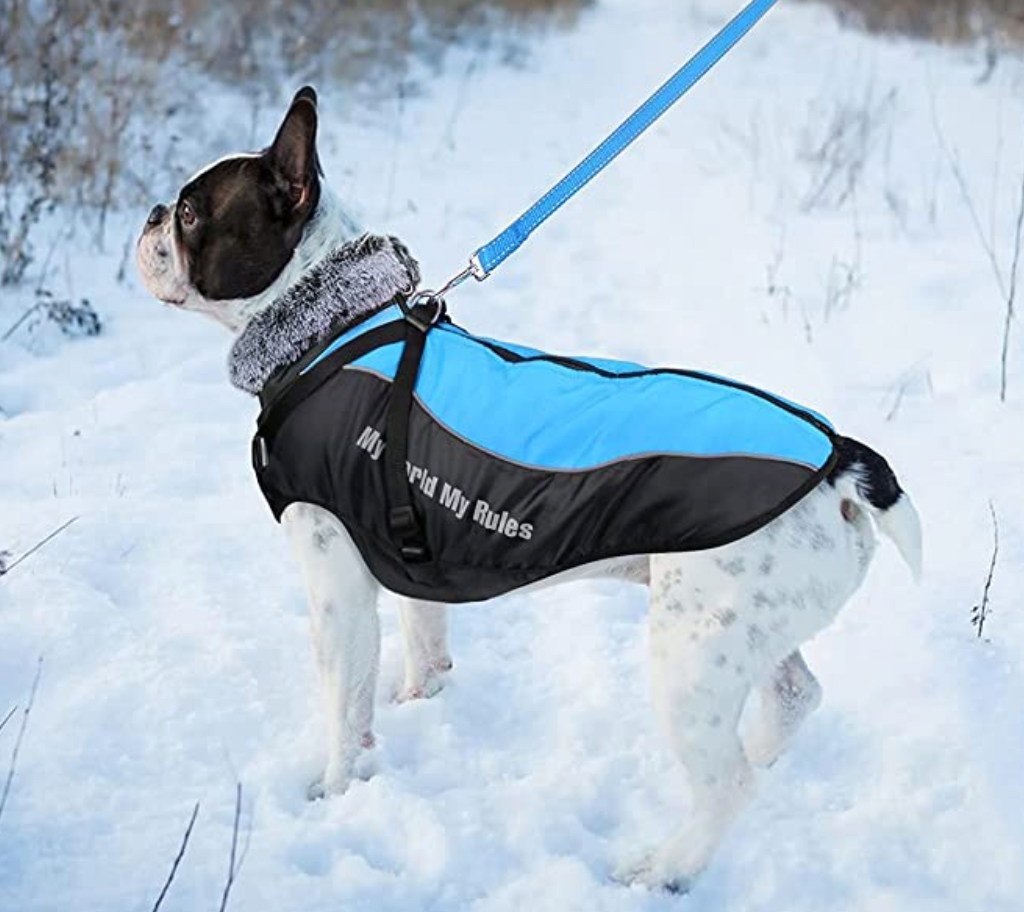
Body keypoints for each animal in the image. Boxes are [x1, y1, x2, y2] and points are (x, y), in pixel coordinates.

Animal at [134, 87, 921, 892]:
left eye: (192, 213)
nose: (154, 212)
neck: (327, 328)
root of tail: (842, 462)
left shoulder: (336, 586)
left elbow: (344, 701)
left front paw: (336, 788)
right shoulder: (401, 560)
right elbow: (425, 642)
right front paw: (419, 701)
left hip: (692, 655)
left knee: (727, 784)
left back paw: (662, 869)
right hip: (749, 629)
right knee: (793, 697)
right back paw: (761, 754)